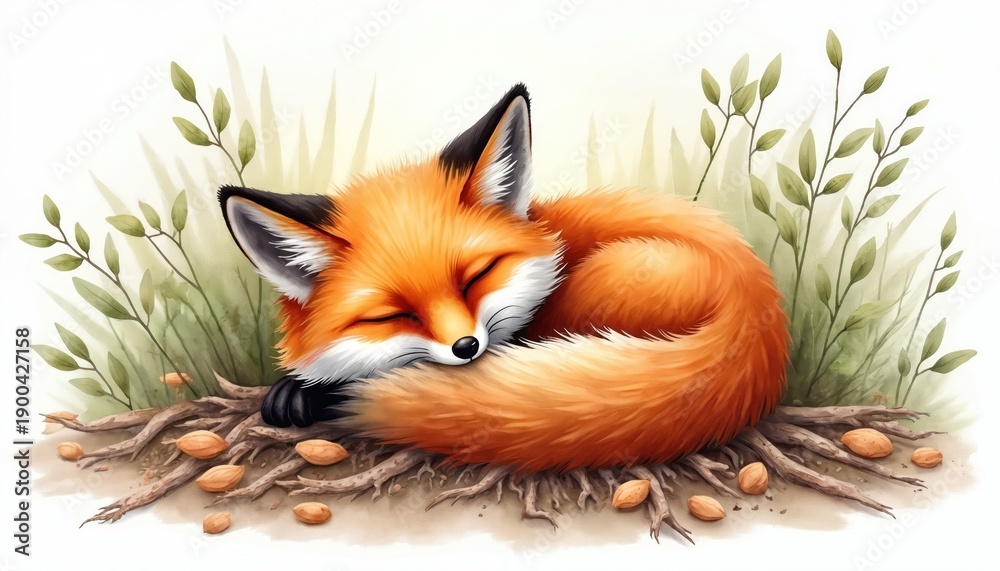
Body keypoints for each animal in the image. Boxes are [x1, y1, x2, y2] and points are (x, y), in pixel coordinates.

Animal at [218, 83, 789, 472]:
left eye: (477, 276)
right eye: (391, 315)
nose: (466, 347)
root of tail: (759, 314)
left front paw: (313, 390)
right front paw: (296, 389)